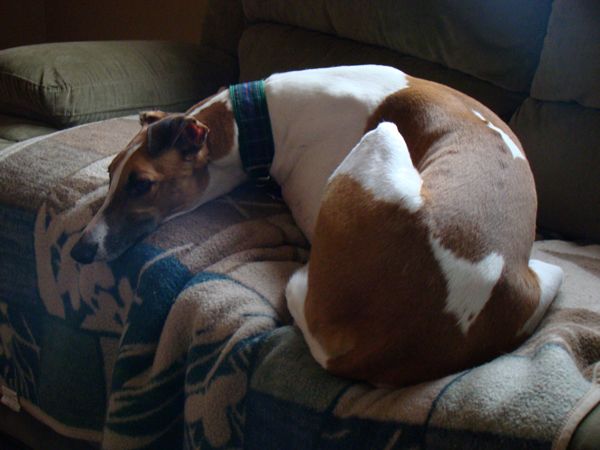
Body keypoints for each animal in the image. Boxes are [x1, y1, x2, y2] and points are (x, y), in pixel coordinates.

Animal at [70, 66, 564, 386]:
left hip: (383, 135)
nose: (79, 251)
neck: (261, 120)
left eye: (142, 184)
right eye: (109, 173)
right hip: (543, 282)